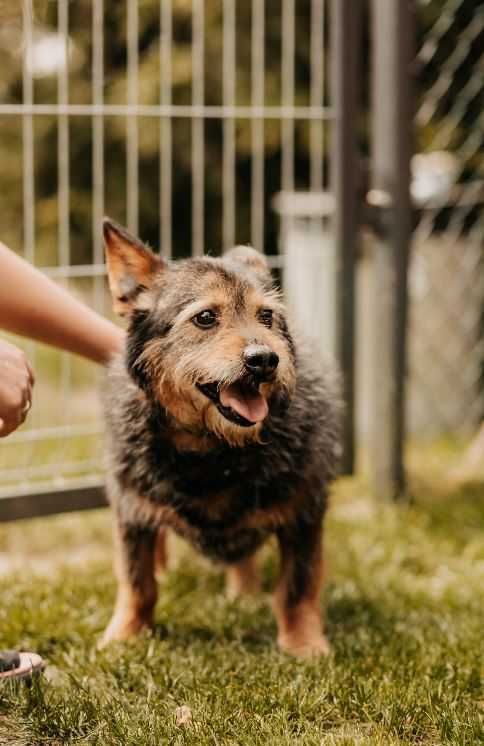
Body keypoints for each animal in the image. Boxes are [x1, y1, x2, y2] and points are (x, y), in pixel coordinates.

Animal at [101, 217, 340, 656]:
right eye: (206, 317)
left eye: (267, 316)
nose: (264, 359)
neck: (211, 450)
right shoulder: (132, 510)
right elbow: (137, 582)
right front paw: (124, 636)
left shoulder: (304, 511)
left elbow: (297, 586)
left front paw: (303, 644)